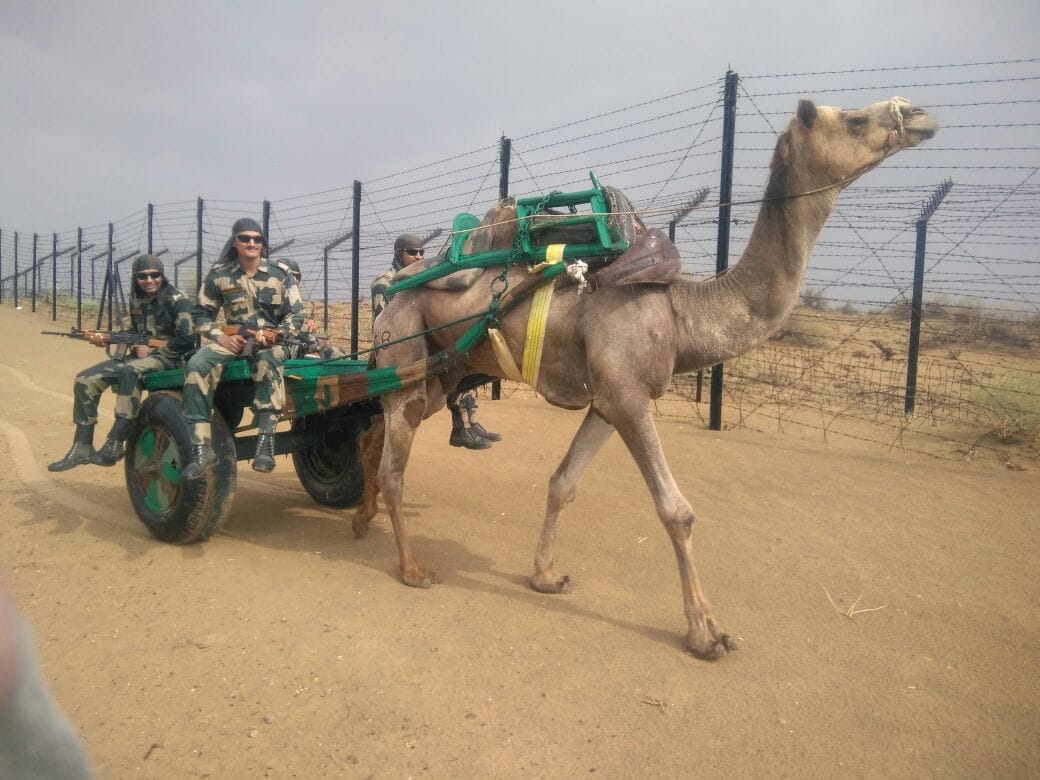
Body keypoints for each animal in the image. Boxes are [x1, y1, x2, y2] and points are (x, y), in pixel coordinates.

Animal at [354, 97, 938, 659]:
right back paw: (412, 568)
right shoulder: (630, 398)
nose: (919, 113)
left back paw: (362, 518)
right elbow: (676, 511)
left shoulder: (609, 398)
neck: (681, 313)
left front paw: (545, 576)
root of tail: (387, 292)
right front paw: (706, 633)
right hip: (407, 354)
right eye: (855, 119)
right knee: (394, 465)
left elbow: (562, 483)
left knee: (375, 429)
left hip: (444, 372)